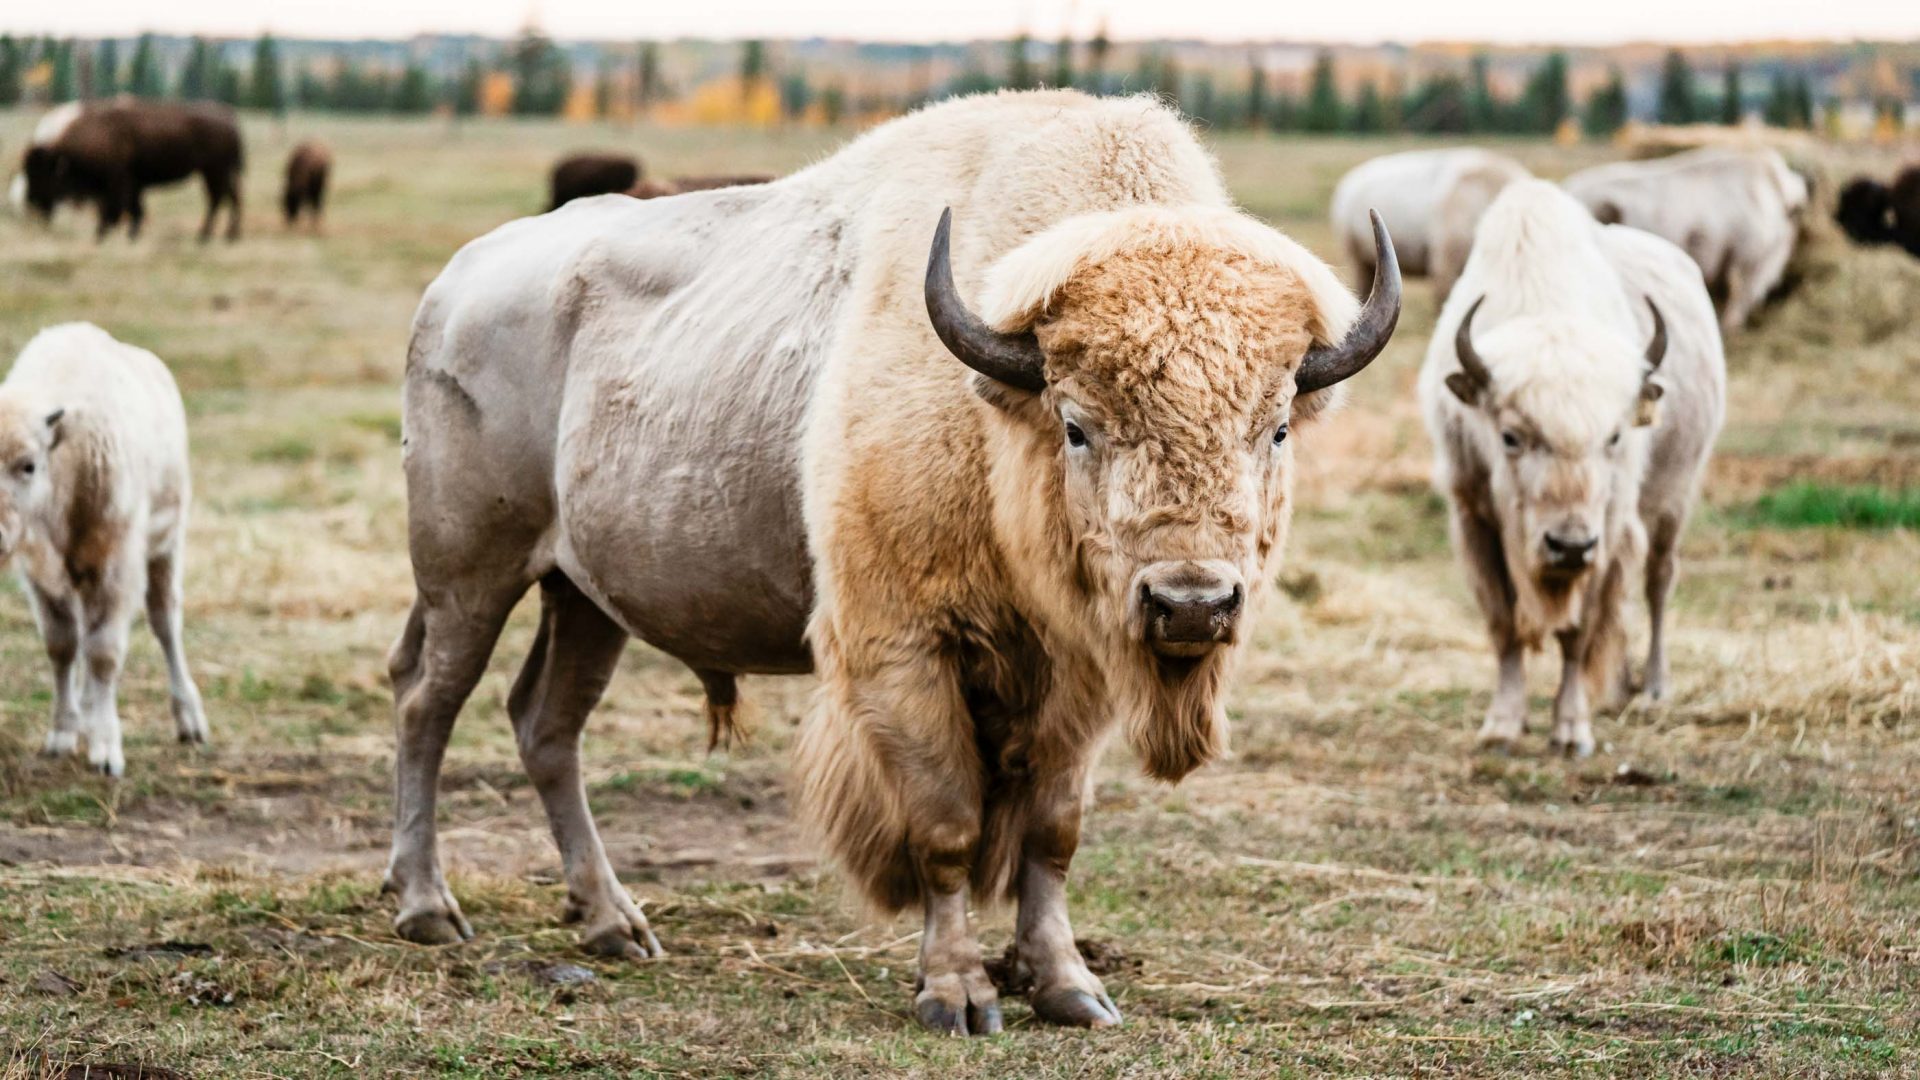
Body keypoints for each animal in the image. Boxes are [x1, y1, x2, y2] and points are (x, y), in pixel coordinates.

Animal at [18, 98, 243, 239]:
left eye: (41, 173)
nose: (31, 200)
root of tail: (229, 119)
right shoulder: (133, 184)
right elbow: (134, 210)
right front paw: (128, 235)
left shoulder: (119, 181)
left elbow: (117, 210)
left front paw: (105, 234)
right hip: (217, 172)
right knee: (230, 197)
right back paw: (227, 235)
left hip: (215, 171)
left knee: (217, 199)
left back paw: (204, 236)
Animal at [389, 92, 1405, 1037]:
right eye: (1078, 425)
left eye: (1276, 428)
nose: (1191, 603)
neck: (994, 415)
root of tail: (451, 292)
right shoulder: (903, 650)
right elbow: (946, 825)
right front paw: (956, 994)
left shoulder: (1078, 678)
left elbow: (1052, 831)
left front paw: (1069, 987)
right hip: (469, 573)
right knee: (427, 701)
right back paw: (429, 908)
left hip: (585, 599)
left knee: (545, 725)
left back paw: (613, 924)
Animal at [1428, 180, 1728, 757]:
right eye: (1510, 436)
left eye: (1613, 436)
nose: (1567, 546)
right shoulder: (1472, 516)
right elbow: (1503, 623)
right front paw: (1503, 724)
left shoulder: (1606, 530)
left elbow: (1579, 631)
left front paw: (1571, 730)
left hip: (1675, 499)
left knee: (1658, 581)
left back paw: (1654, 686)